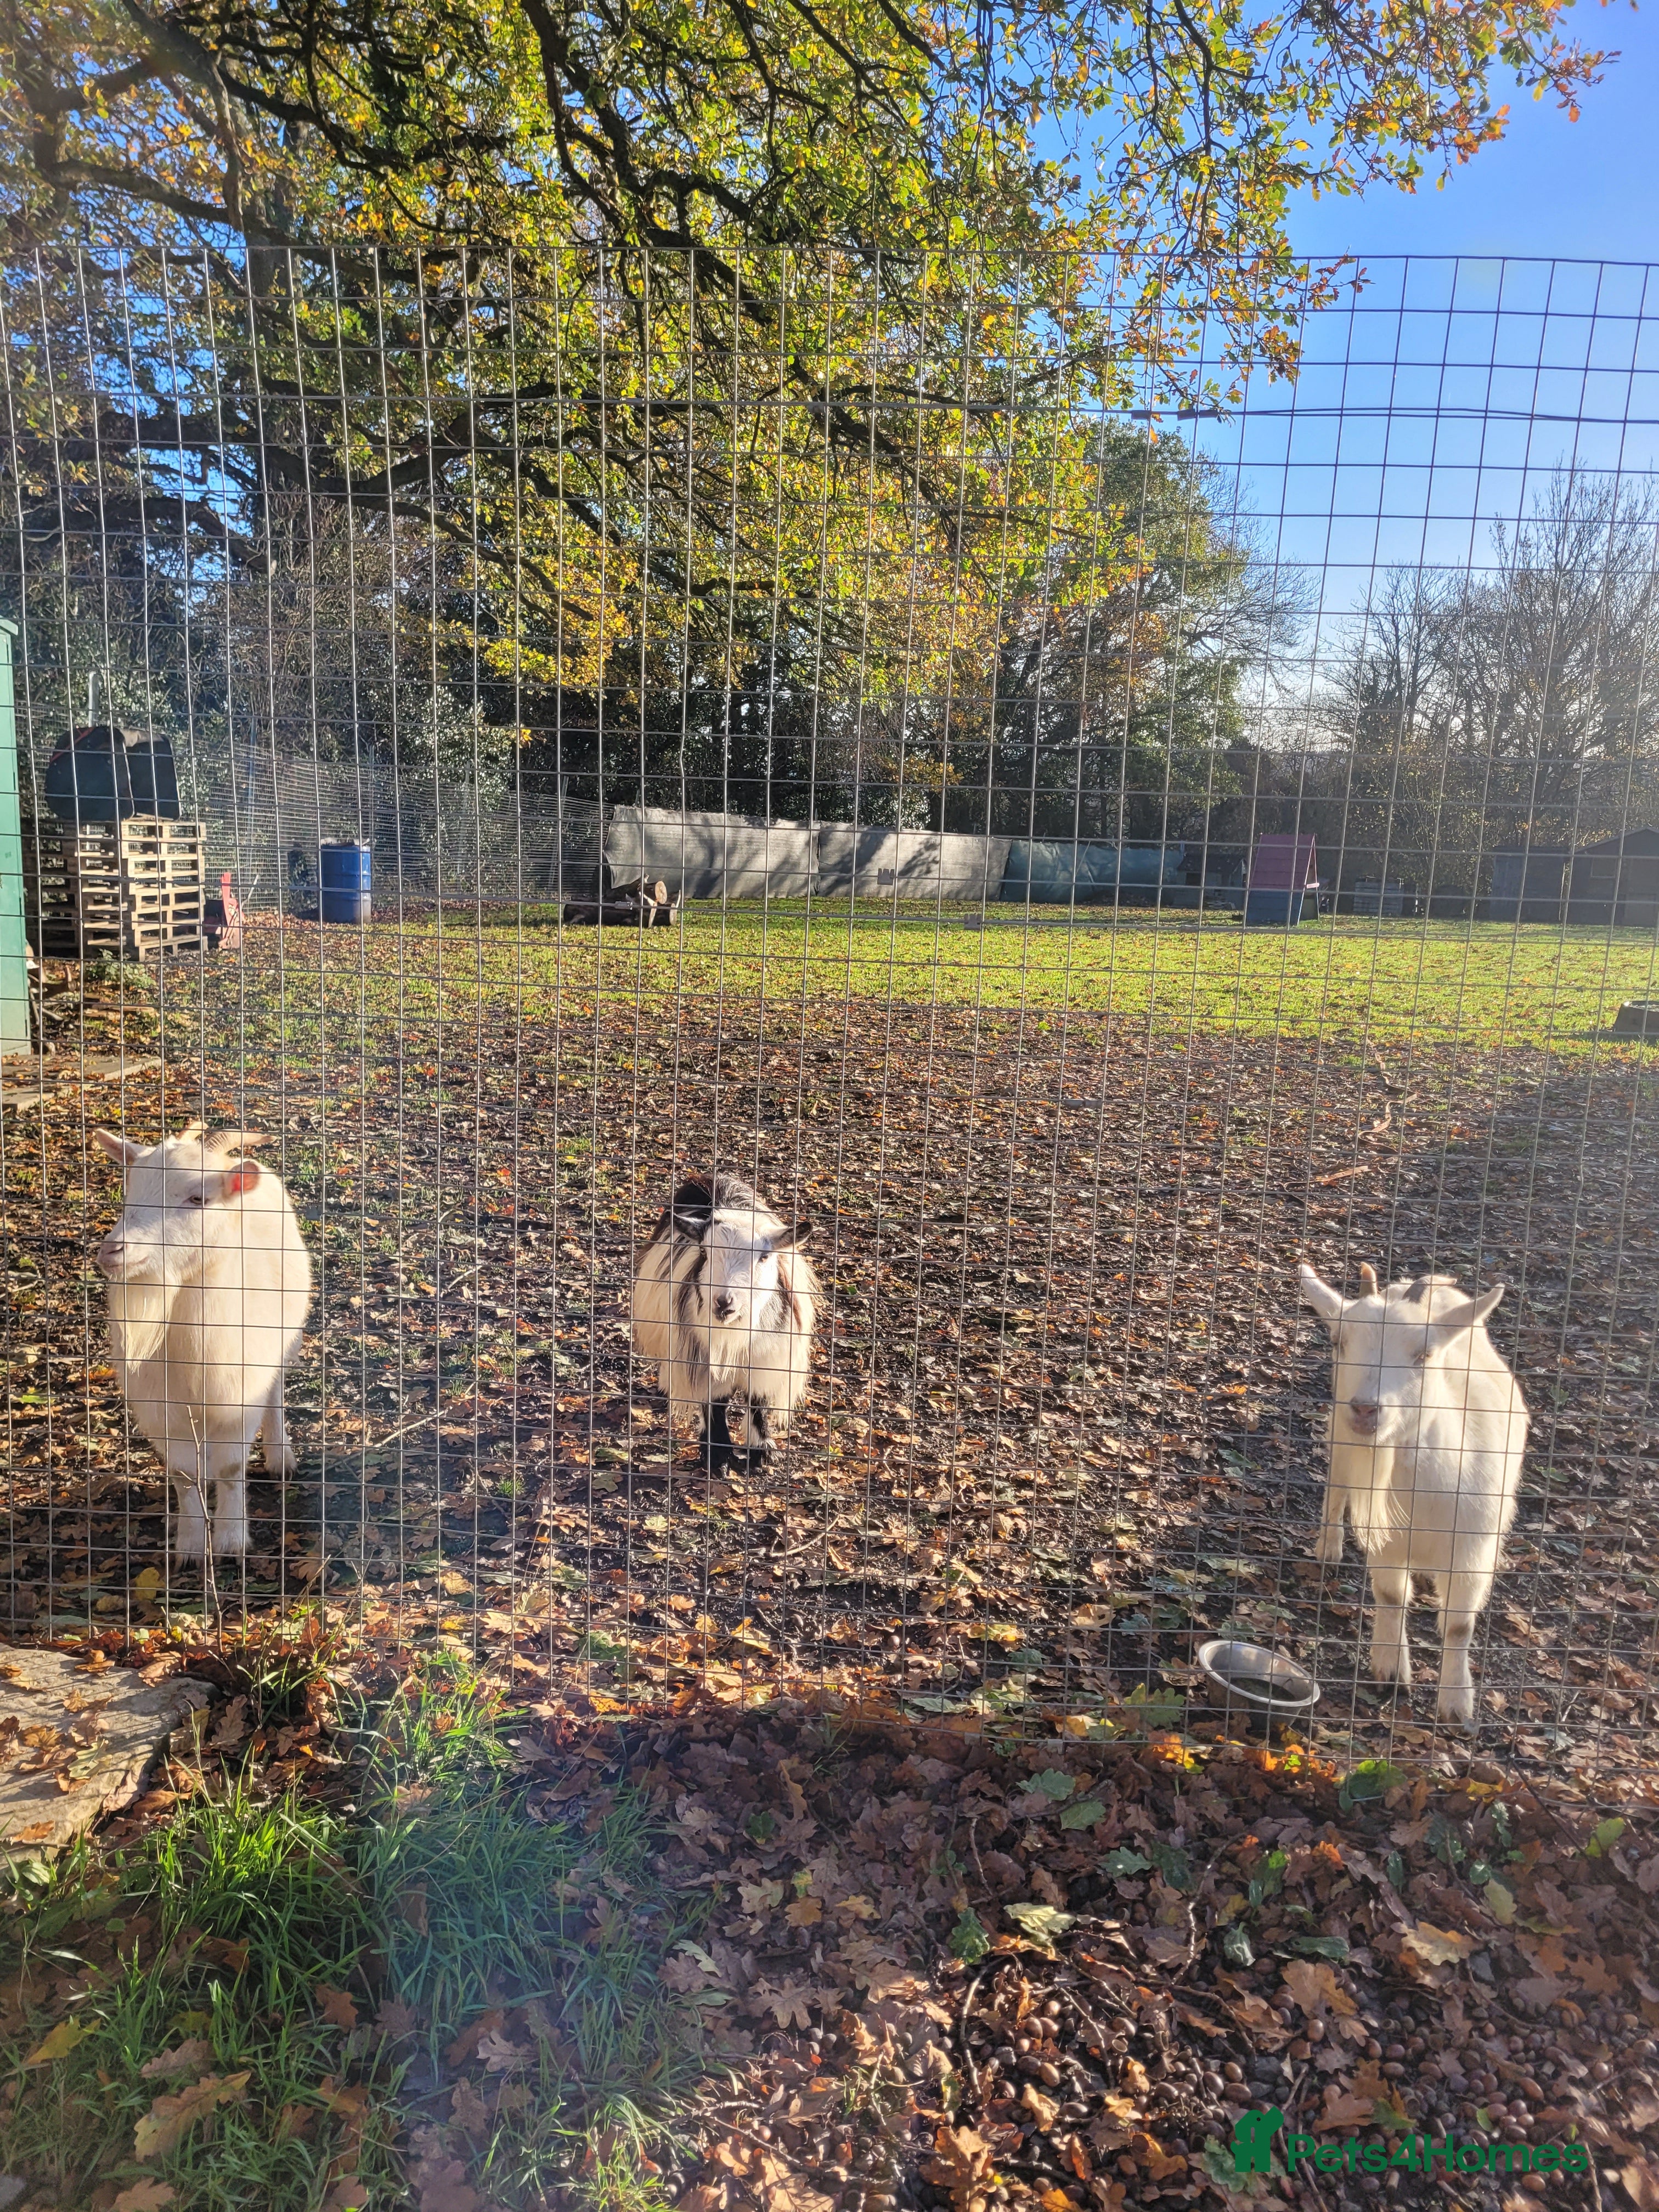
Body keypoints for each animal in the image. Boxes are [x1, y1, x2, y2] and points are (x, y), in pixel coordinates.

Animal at [94, 1123, 313, 1562]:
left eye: (198, 1198)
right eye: (130, 1192)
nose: (112, 1251)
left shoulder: (238, 1399)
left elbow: (230, 1469)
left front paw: (231, 1541)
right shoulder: (162, 1411)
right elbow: (182, 1474)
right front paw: (192, 1546)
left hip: (286, 1341)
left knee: (276, 1393)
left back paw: (280, 1458)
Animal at [632, 1170, 817, 1472]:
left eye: (765, 1256)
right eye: (704, 1253)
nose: (724, 1302)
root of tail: (710, 1178)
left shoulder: (765, 1357)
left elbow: (758, 1401)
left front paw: (762, 1449)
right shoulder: (701, 1358)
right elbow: (715, 1403)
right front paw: (717, 1455)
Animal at [1299, 1262, 1527, 1723]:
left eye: (1424, 1355)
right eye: (1338, 1341)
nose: (1365, 1409)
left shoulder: (1473, 1549)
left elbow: (1459, 1625)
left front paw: (1456, 1705)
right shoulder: (1386, 1538)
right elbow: (1390, 1596)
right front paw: (1390, 1672)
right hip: (1340, 1439)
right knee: (1336, 1485)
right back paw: (1329, 1547)